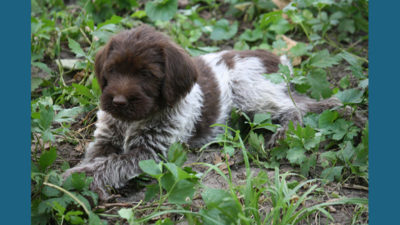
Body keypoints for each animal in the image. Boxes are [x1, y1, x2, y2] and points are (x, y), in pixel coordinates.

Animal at [64, 24, 340, 200]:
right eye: (112, 70)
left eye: (146, 75)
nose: (119, 101)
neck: (135, 119)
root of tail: (275, 58)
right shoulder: (106, 138)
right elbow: (97, 158)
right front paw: (85, 183)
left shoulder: (150, 152)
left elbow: (111, 164)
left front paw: (74, 176)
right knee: (301, 102)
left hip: (248, 91)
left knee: (292, 108)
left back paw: (284, 133)